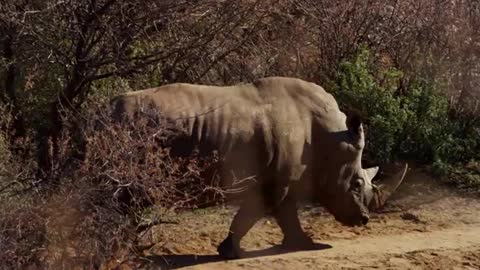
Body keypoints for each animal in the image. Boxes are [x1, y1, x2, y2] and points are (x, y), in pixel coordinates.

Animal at [110, 76, 406, 260]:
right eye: (356, 184)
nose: (364, 220)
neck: (331, 139)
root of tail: (107, 110)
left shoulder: (283, 177)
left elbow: (286, 214)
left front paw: (304, 245)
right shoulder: (274, 181)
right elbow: (253, 215)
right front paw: (228, 251)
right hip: (133, 132)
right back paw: (125, 252)